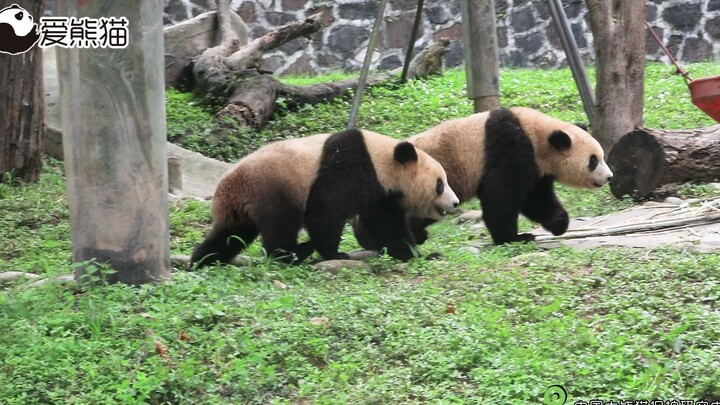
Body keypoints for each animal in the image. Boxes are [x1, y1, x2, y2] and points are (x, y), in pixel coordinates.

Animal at [191, 128, 458, 266]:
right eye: (440, 184)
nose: (455, 203)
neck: (385, 161)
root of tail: (227, 189)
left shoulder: (383, 193)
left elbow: (386, 225)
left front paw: (417, 253)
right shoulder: (351, 167)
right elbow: (325, 211)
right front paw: (335, 254)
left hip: (242, 207)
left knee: (230, 234)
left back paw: (203, 259)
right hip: (271, 186)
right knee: (280, 224)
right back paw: (294, 253)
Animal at [352, 106, 612, 249]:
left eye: (600, 156)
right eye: (593, 160)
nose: (609, 177)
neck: (537, 135)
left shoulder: (537, 167)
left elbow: (536, 198)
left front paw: (559, 221)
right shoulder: (509, 148)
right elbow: (501, 196)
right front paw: (515, 237)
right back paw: (375, 238)